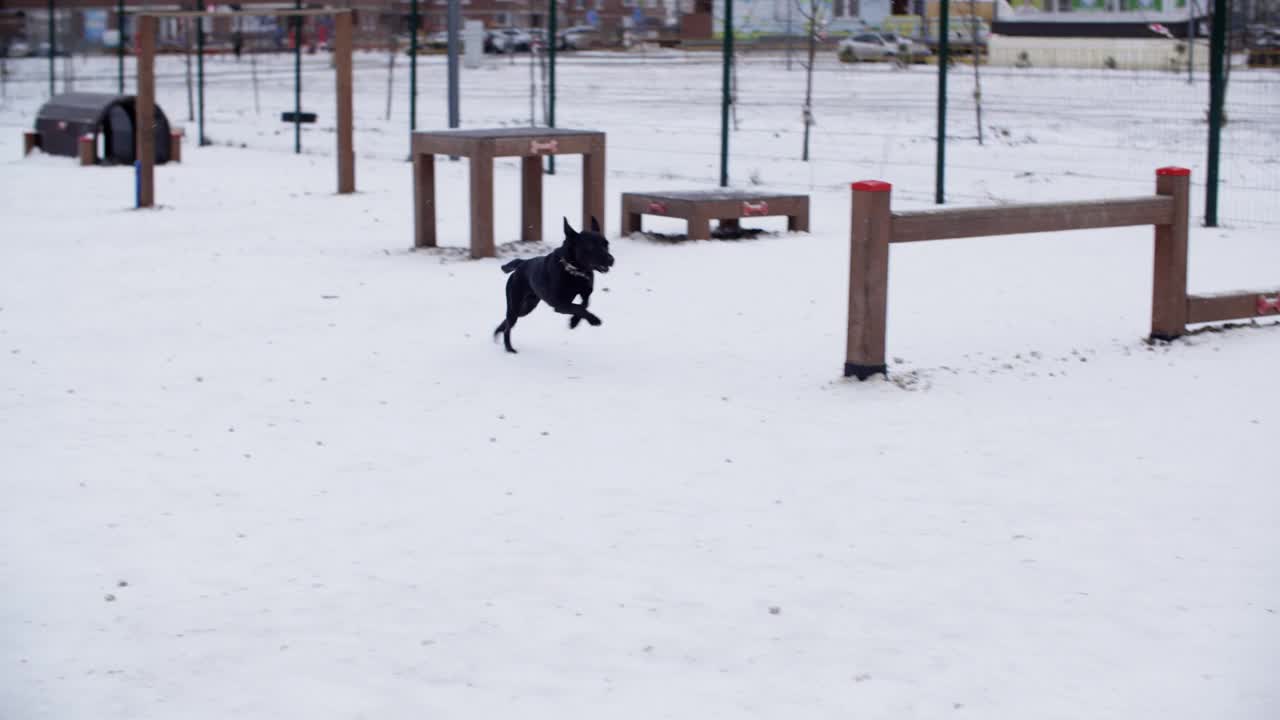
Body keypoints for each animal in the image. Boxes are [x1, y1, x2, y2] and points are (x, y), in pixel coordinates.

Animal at [494, 219, 614, 353]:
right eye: (591, 246)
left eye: (606, 244)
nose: (611, 259)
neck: (574, 272)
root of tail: (521, 264)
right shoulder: (560, 305)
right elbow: (578, 307)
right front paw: (593, 319)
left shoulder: (585, 293)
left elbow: (584, 304)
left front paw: (574, 322)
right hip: (516, 303)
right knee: (508, 327)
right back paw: (509, 349)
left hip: (526, 307)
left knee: (508, 322)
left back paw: (497, 332)